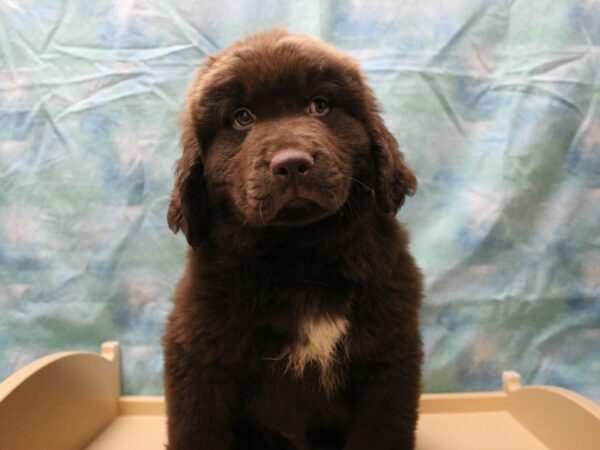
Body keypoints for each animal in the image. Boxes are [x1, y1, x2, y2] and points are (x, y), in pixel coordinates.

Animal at [164, 29, 424, 448]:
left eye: (320, 105)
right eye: (242, 117)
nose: (291, 163)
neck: (299, 257)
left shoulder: (387, 357)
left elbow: (382, 430)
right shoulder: (199, 357)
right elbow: (197, 430)